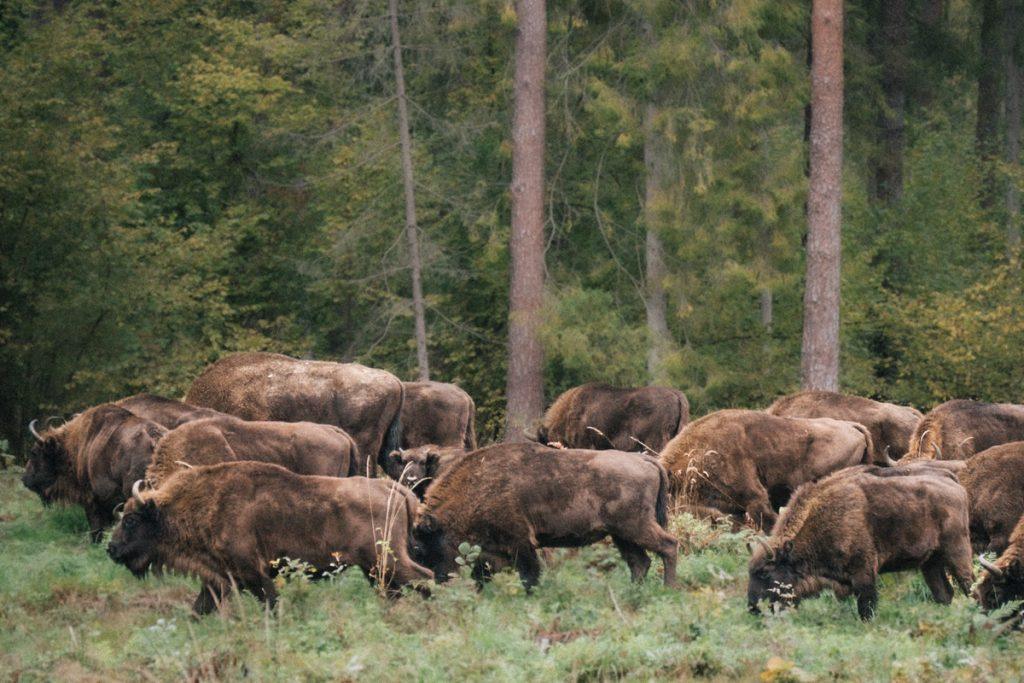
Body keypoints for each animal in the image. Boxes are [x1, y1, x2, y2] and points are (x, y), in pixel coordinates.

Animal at [107, 461, 432, 614]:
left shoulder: (254, 573)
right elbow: (199, 609)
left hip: (385, 560)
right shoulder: (219, 579)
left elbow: (270, 605)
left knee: (424, 578)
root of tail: (393, 489)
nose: (111, 549)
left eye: (131, 519)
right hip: (374, 568)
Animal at [414, 442, 678, 589]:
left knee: (668, 546)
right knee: (639, 562)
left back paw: (669, 588)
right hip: (621, 534)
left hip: (635, 527)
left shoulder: (520, 543)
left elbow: (529, 575)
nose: (439, 580)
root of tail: (646, 460)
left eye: (425, 545)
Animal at [748, 466, 973, 619]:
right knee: (944, 593)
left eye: (765, 572)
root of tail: (954, 483)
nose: (752, 608)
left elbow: (866, 606)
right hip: (930, 563)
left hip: (957, 552)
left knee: (968, 583)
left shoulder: (863, 572)